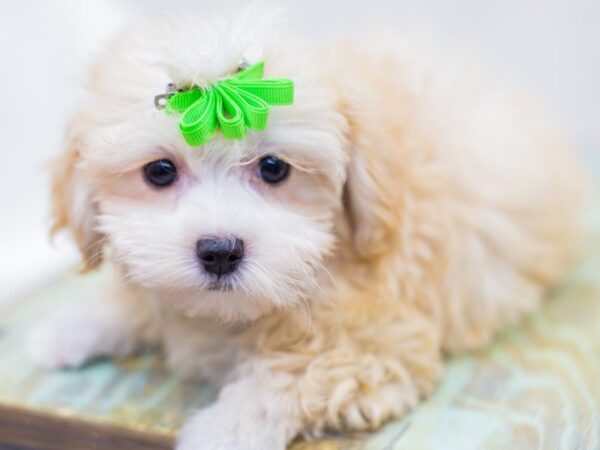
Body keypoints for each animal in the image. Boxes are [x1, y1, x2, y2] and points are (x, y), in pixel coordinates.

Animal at [27, 7, 584, 450]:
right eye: (160, 172)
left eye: (274, 168)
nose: (220, 250)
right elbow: (141, 299)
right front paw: (69, 329)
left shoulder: (381, 344)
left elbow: (291, 376)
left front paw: (224, 430)